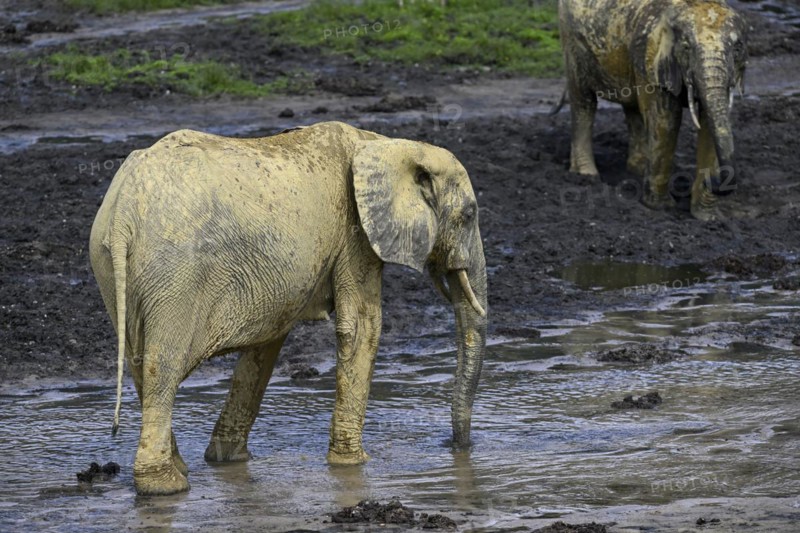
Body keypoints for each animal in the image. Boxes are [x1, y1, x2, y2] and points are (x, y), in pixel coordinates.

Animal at [89, 121, 488, 496]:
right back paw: (166, 487)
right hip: (175, 272)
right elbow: (362, 326)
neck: (387, 144)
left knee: (139, 363)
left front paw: (229, 460)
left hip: (110, 264)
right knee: (162, 365)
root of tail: (123, 210)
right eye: (469, 214)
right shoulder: (355, 231)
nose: (457, 446)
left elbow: (268, 340)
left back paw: (179, 471)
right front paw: (353, 465)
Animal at [556, 0, 747, 219]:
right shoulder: (650, 57)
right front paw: (661, 208)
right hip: (571, 41)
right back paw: (586, 175)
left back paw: (637, 170)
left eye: (737, 49)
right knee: (584, 102)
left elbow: (709, 124)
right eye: (686, 48)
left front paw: (707, 218)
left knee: (632, 107)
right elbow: (667, 119)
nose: (715, 181)